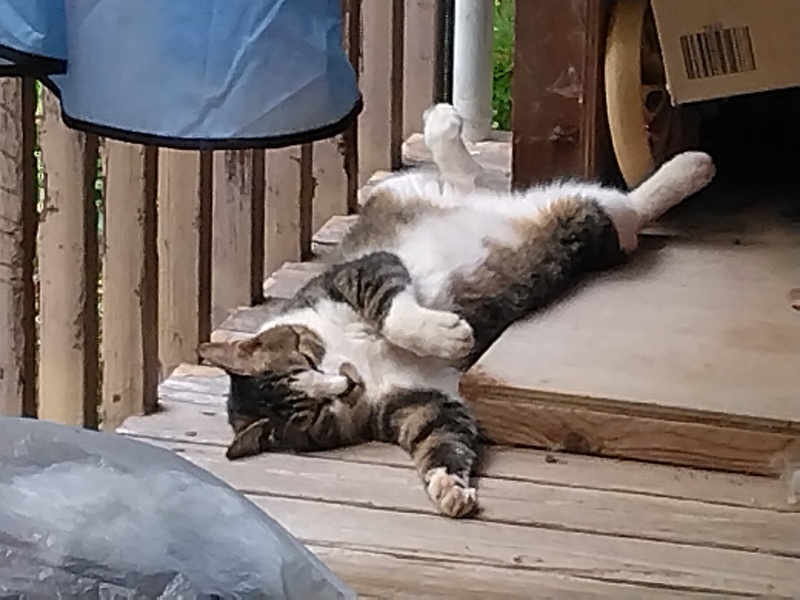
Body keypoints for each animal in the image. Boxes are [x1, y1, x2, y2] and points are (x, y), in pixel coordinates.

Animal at [198, 103, 716, 519]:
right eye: (317, 411)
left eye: (307, 358)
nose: (344, 384)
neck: (361, 359)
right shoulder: (422, 404)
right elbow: (443, 441)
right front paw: (447, 489)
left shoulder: (361, 273)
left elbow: (392, 312)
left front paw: (449, 335)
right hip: (575, 222)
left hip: (510, 207)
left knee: (629, 202)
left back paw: (694, 163)